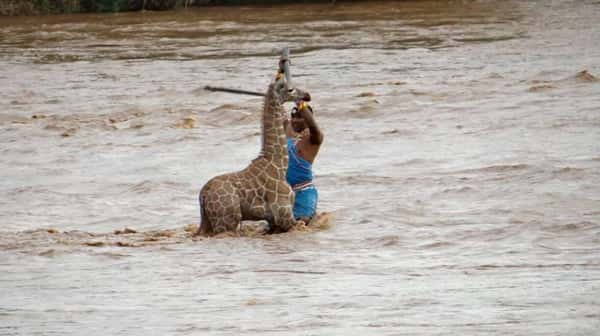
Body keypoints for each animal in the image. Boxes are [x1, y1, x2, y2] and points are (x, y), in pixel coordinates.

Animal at [198, 55, 312, 236]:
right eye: (290, 90)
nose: (307, 95)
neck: (279, 165)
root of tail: (203, 195)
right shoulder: (285, 217)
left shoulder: (274, 222)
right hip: (227, 222)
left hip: (208, 223)